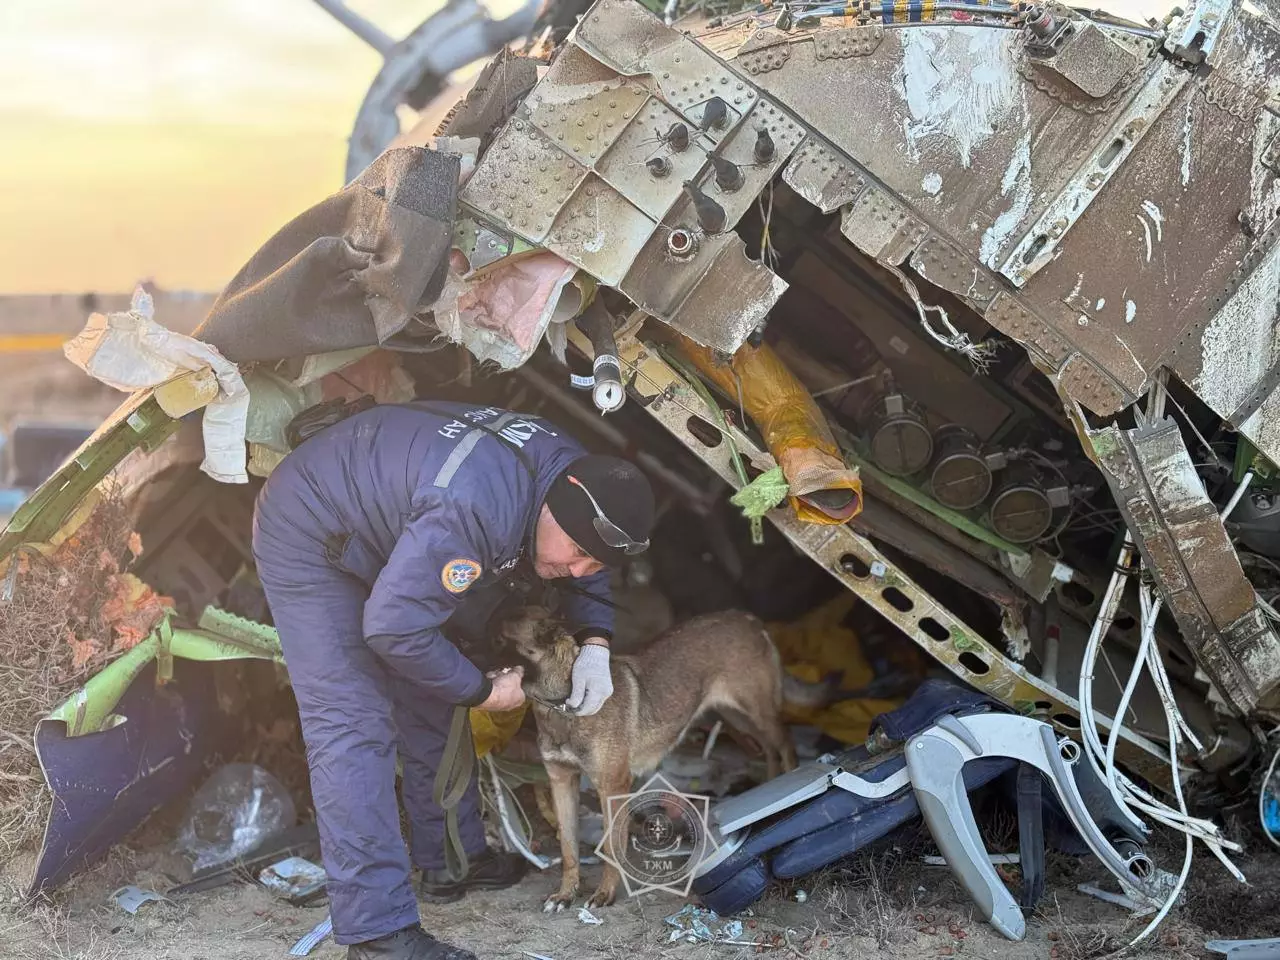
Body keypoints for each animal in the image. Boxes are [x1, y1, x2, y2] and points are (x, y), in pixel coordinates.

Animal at [496, 609, 788, 916]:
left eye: (498, 641)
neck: (563, 704)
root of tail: (746, 617)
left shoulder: (612, 786)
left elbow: (611, 847)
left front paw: (605, 894)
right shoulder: (562, 782)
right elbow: (568, 848)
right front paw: (565, 894)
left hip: (756, 713)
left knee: (784, 743)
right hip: (736, 717)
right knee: (768, 749)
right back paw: (773, 782)